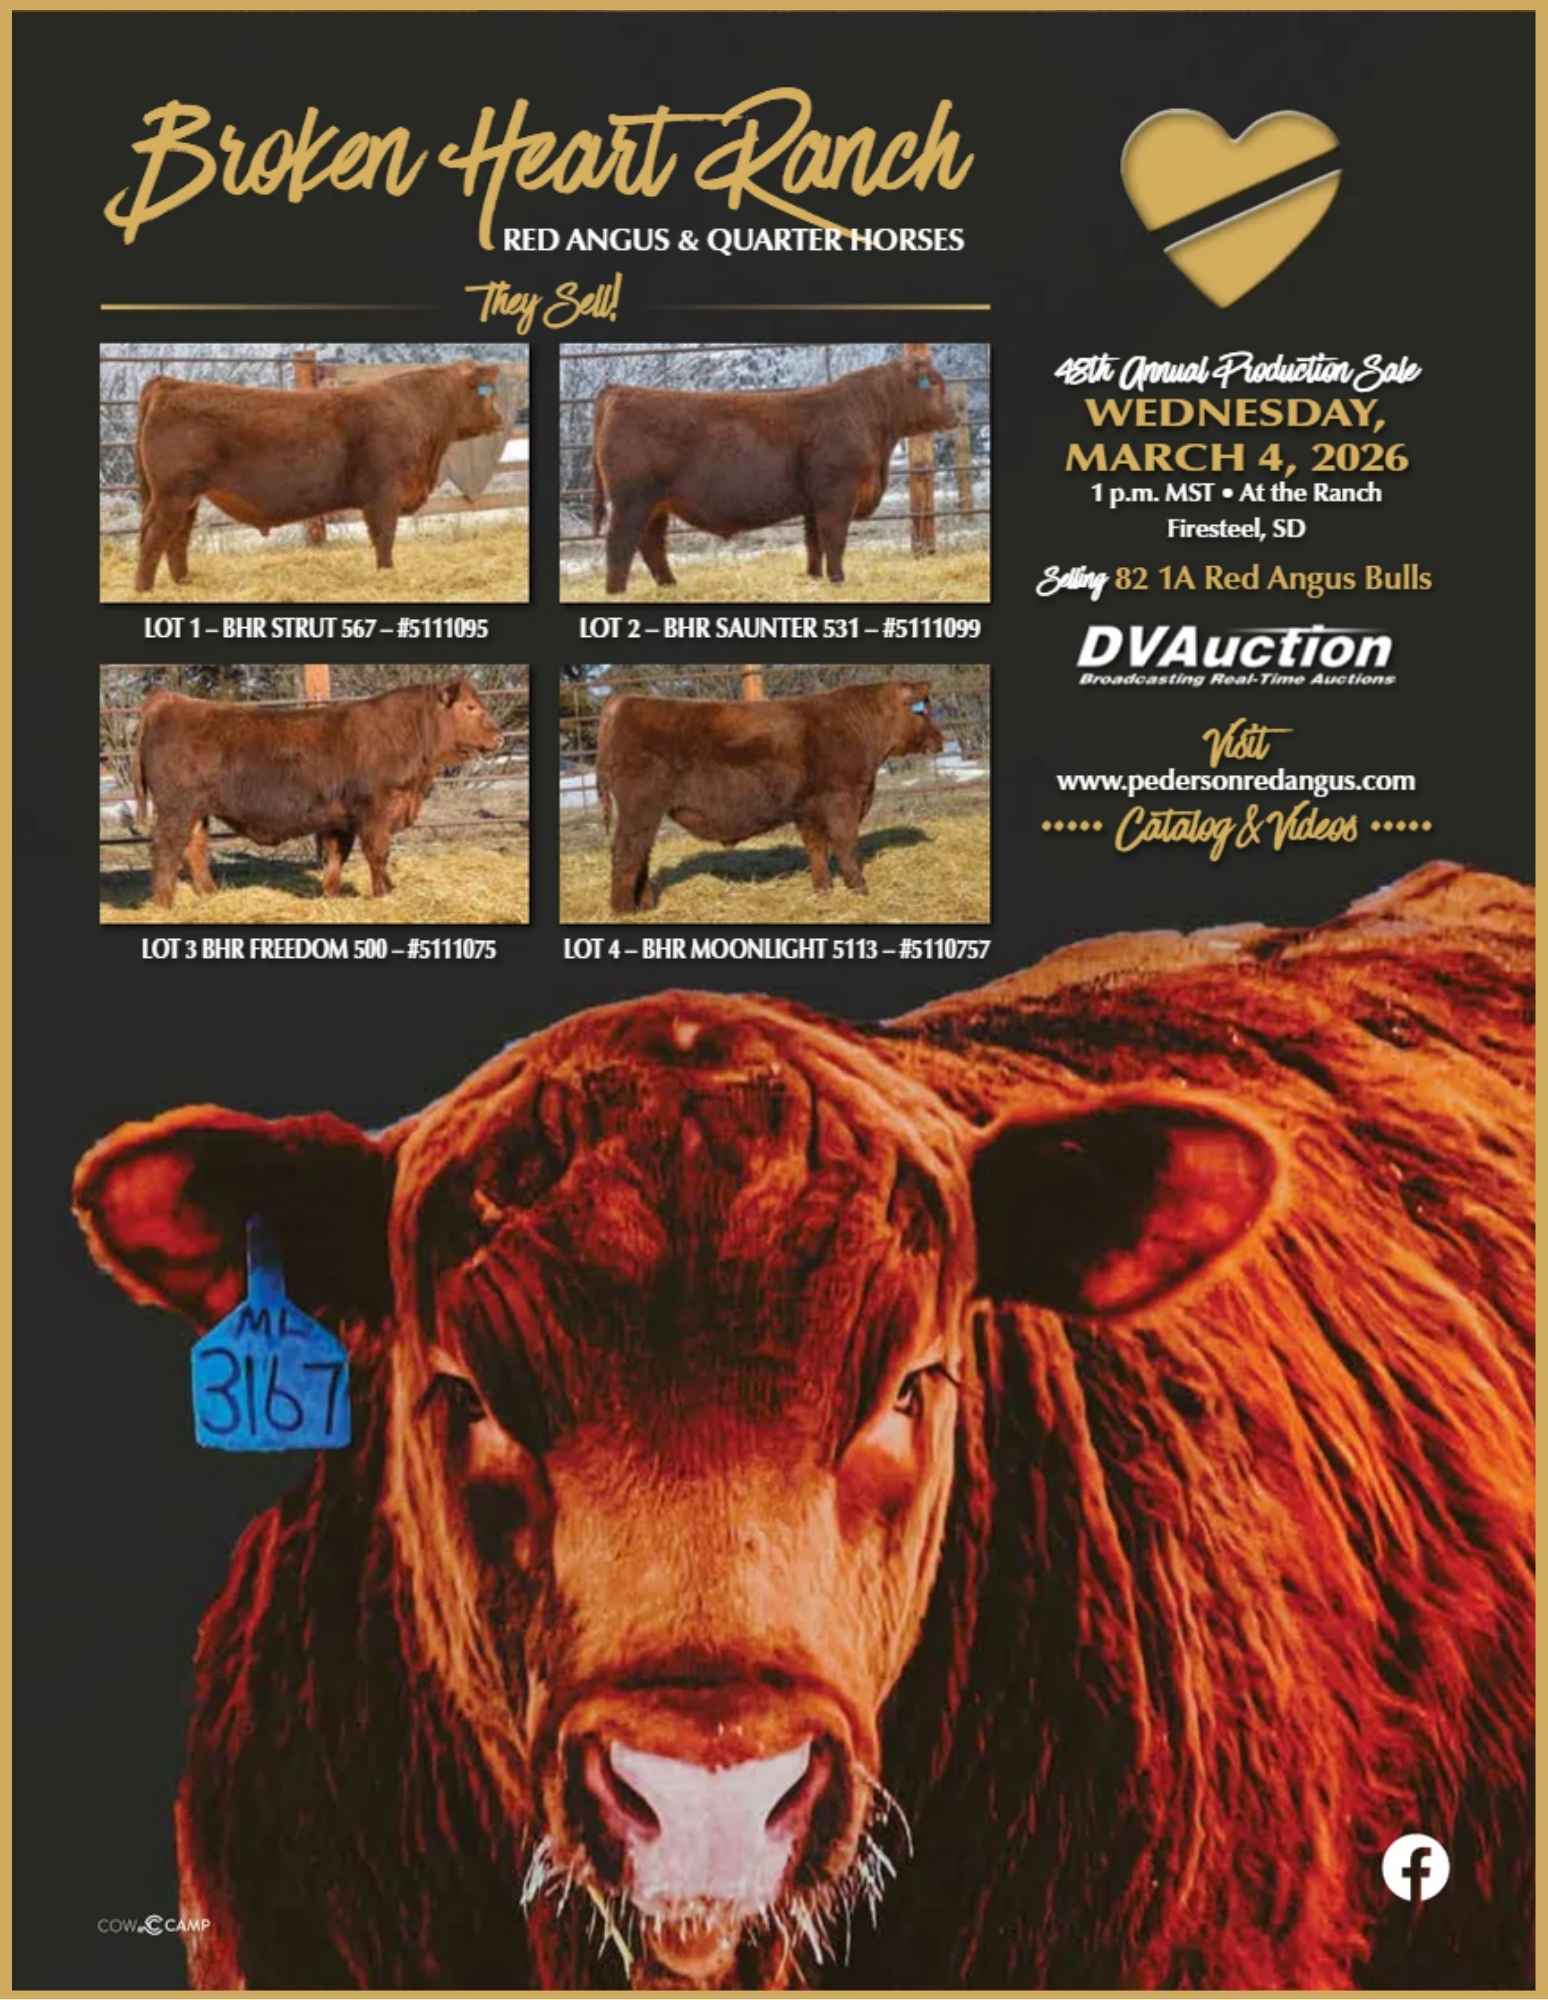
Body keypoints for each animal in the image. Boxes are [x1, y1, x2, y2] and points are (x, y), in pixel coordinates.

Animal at [130, 678, 502, 906]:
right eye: (470, 707)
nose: (499, 737)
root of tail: (170, 700)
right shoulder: (374, 813)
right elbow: (378, 853)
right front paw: (383, 894)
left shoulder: (340, 820)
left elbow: (337, 856)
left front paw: (333, 894)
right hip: (176, 808)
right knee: (165, 849)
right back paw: (164, 905)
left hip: (196, 810)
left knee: (193, 848)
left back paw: (210, 894)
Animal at [133, 361, 504, 591]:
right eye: (485, 393)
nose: (500, 418)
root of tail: (168, 384)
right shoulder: (384, 495)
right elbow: (384, 537)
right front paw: (387, 573)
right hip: (172, 494)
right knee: (153, 538)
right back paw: (144, 590)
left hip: (187, 498)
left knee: (177, 539)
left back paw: (184, 582)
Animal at [590, 356, 954, 594]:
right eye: (935, 383)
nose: (956, 414)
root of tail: (619, 391)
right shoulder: (836, 494)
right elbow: (834, 538)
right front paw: (838, 579)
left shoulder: (813, 502)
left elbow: (814, 542)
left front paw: (815, 578)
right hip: (632, 500)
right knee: (620, 543)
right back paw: (616, 592)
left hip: (656, 504)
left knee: (651, 543)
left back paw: (669, 585)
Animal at [595, 679, 946, 913]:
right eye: (921, 710)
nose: (941, 739)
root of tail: (625, 700)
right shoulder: (843, 799)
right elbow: (846, 845)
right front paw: (860, 889)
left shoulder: (808, 809)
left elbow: (817, 850)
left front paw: (823, 891)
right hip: (640, 808)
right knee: (626, 855)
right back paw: (624, 911)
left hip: (644, 813)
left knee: (640, 854)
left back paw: (645, 905)